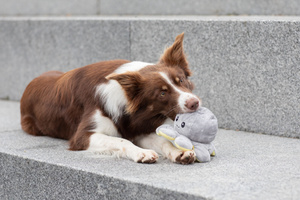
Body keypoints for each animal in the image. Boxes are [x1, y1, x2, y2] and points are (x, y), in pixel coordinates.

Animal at [20, 33, 202, 164]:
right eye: (162, 93)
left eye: (181, 80)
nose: (194, 103)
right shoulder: (83, 136)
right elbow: (121, 141)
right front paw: (141, 152)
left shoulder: (137, 128)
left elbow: (163, 142)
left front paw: (180, 151)